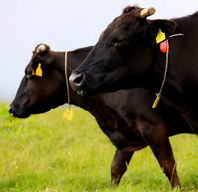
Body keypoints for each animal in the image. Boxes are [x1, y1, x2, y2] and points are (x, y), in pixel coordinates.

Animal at [8, 43, 193, 189]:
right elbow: (116, 168)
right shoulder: (126, 132)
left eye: (29, 73)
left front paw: (178, 189)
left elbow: (168, 164)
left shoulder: (152, 126)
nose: (11, 108)